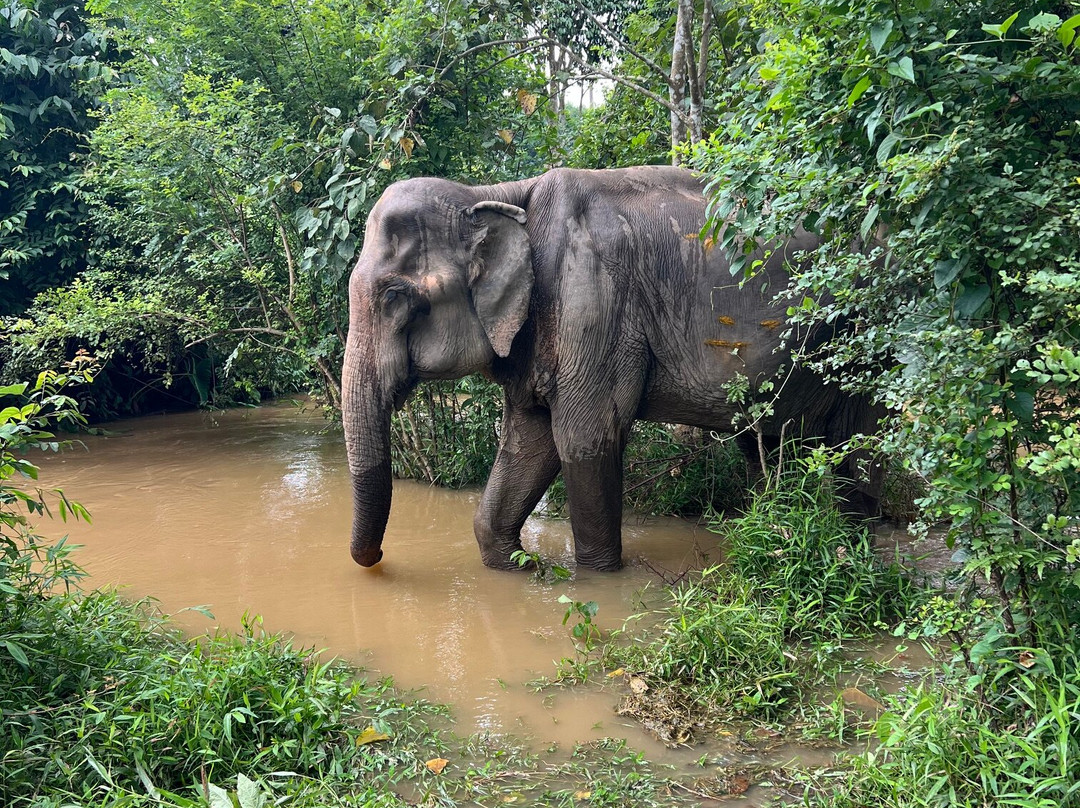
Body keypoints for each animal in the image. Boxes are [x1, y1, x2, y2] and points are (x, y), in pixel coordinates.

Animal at [342, 165, 882, 572]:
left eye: (394, 297)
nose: (381, 559)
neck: (496, 194)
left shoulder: (592, 301)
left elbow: (582, 439)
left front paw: (596, 578)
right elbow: (528, 440)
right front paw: (519, 568)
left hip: (865, 338)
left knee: (858, 444)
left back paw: (855, 545)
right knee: (767, 444)